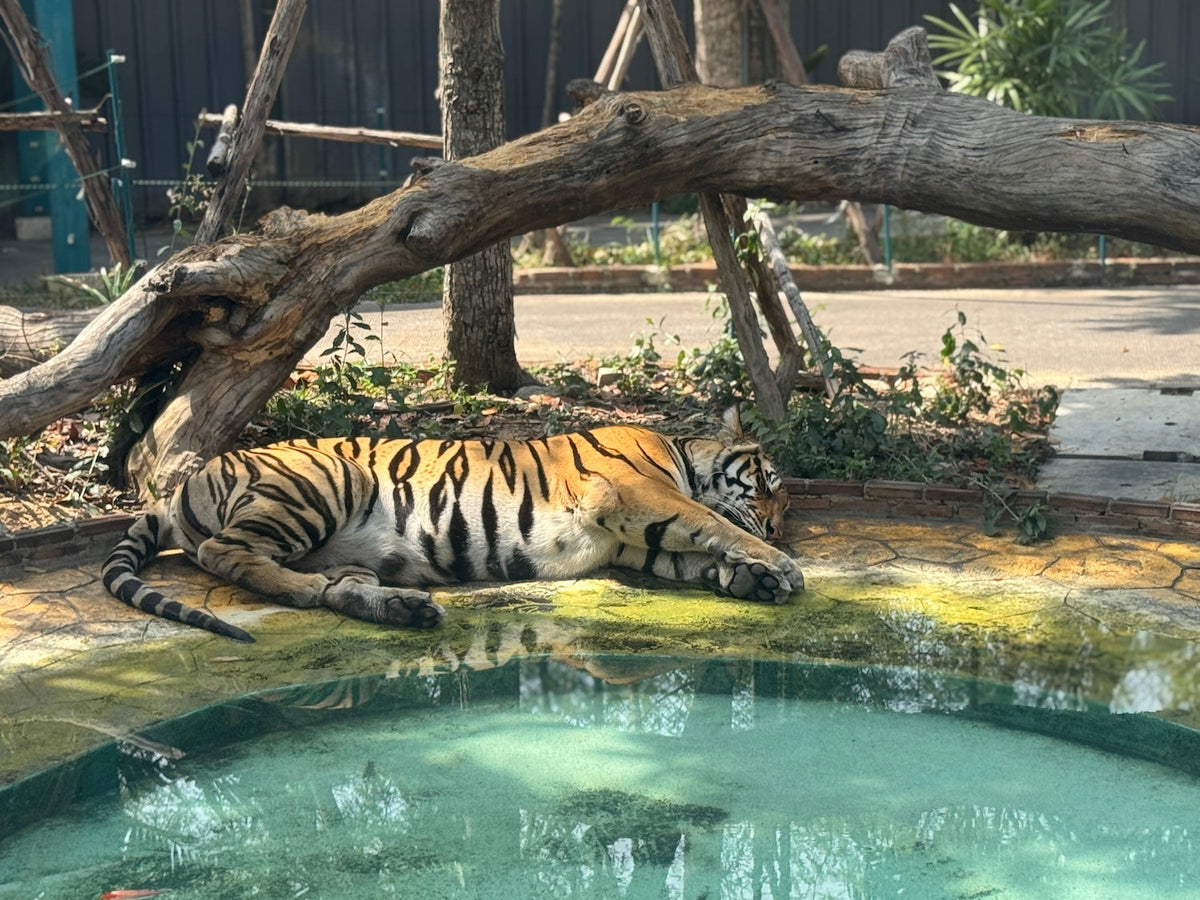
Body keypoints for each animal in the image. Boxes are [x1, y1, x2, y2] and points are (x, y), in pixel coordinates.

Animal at [102, 409, 803, 643]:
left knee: (335, 588)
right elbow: (710, 522)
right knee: (225, 553)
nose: (778, 531)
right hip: (322, 481)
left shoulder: (627, 543)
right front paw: (779, 567)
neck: (681, 452)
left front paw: (755, 579)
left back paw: (404, 608)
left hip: (340, 549)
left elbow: (695, 554)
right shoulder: (632, 495)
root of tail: (181, 486)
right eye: (771, 486)